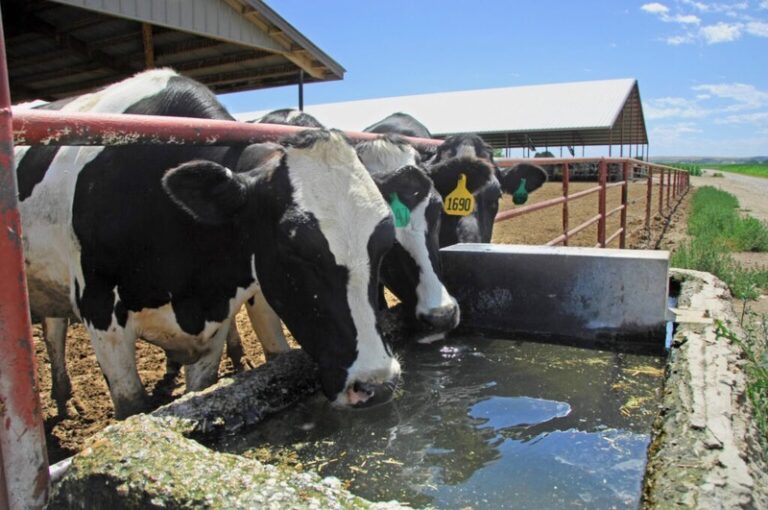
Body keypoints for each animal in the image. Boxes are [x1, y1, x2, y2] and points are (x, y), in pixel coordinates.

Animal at [15, 68, 401, 418]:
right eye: (295, 248)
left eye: (383, 247)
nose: (377, 384)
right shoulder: (99, 311)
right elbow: (132, 407)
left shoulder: (215, 321)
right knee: (54, 331)